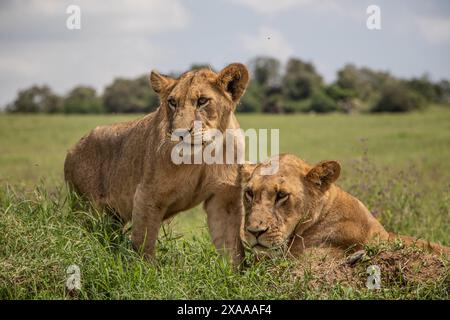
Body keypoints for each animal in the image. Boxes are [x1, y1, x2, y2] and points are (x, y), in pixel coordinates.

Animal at [64, 63, 250, 264]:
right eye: (172, 102)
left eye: (202, 101)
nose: (179, 133)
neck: (201, 157)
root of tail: (73, 149)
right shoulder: (147, 196)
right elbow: (144, 244)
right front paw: (144, 271)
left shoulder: (223, 199)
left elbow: (232, 248)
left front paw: (233, 271)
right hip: (86, 208)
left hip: (111, 217)